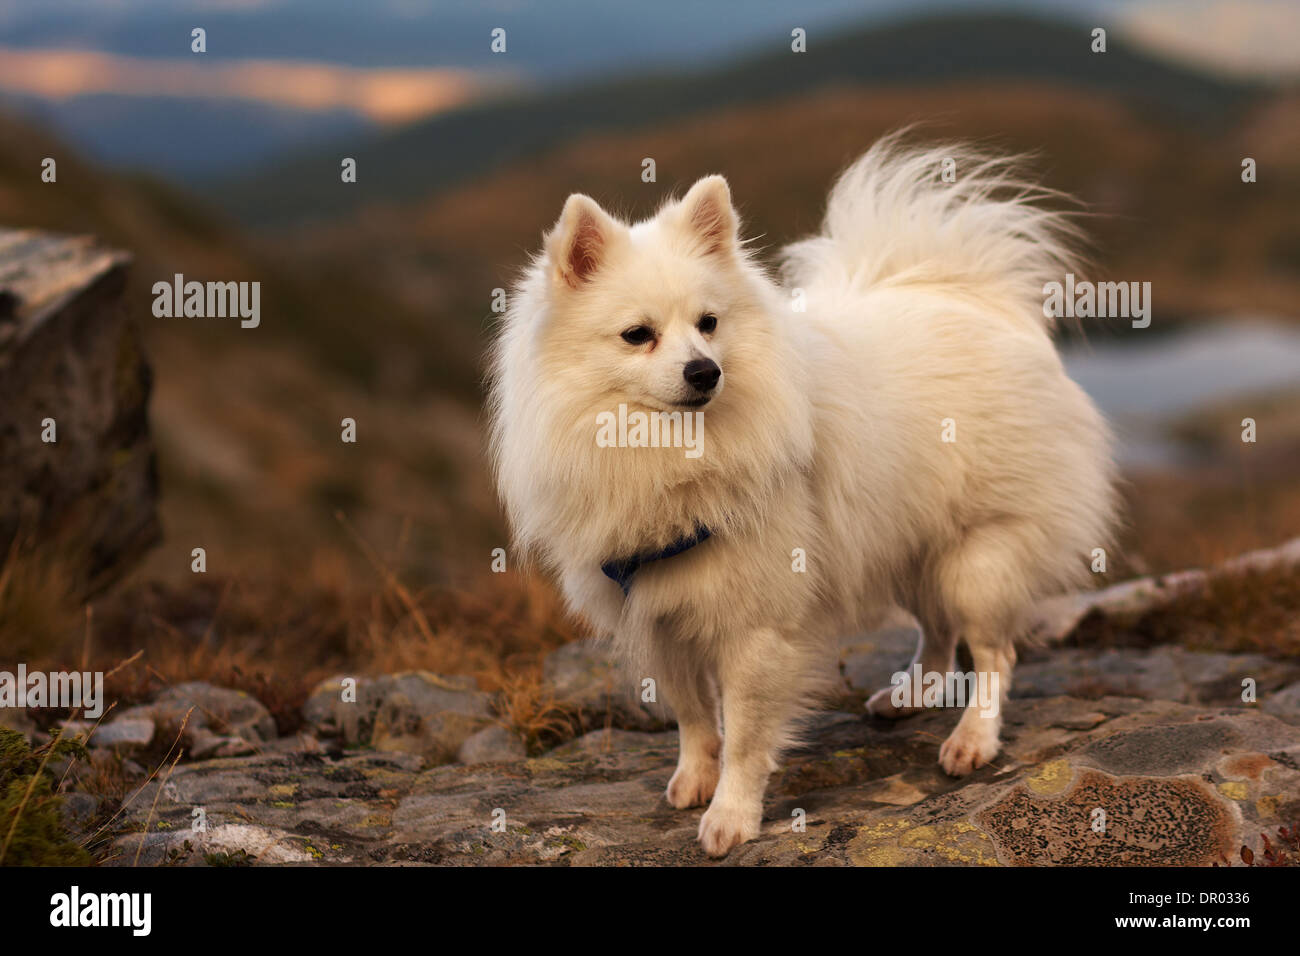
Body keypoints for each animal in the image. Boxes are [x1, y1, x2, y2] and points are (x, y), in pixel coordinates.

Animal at [488, 130, 1118, 858]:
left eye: (708, 323)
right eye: (637, 334)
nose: (705, 371)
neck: (665, 452)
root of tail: (968, 295)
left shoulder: (754, 628)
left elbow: (743, 736)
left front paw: (731, 816)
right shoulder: (661, 618)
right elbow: (694, 717)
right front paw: (692, 780)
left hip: (978, 559)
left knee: (992, 652)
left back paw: (972, 739)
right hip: (907, 545)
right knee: (937, 628)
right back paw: (913, 693)